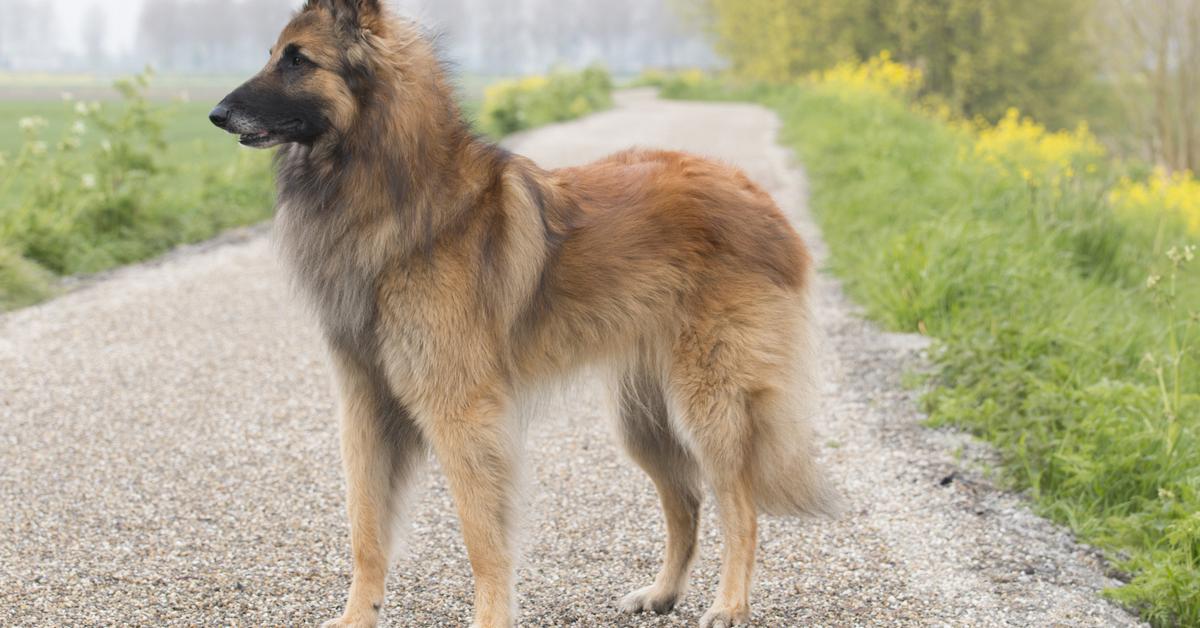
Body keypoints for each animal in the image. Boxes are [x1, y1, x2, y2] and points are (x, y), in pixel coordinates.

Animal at [211, 2, 835, 624]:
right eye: (274, 54)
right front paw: (357, 617)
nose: (216, 115)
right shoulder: (365, 401)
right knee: (686, 502)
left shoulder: (460, 412)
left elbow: (482, 538)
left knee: (740, 506)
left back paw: (729, 605)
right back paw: (662, 593)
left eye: (297, 60)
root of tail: (758, 194)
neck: (394, 190)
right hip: (644, 420)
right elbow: (365, 528)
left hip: (708, 404)